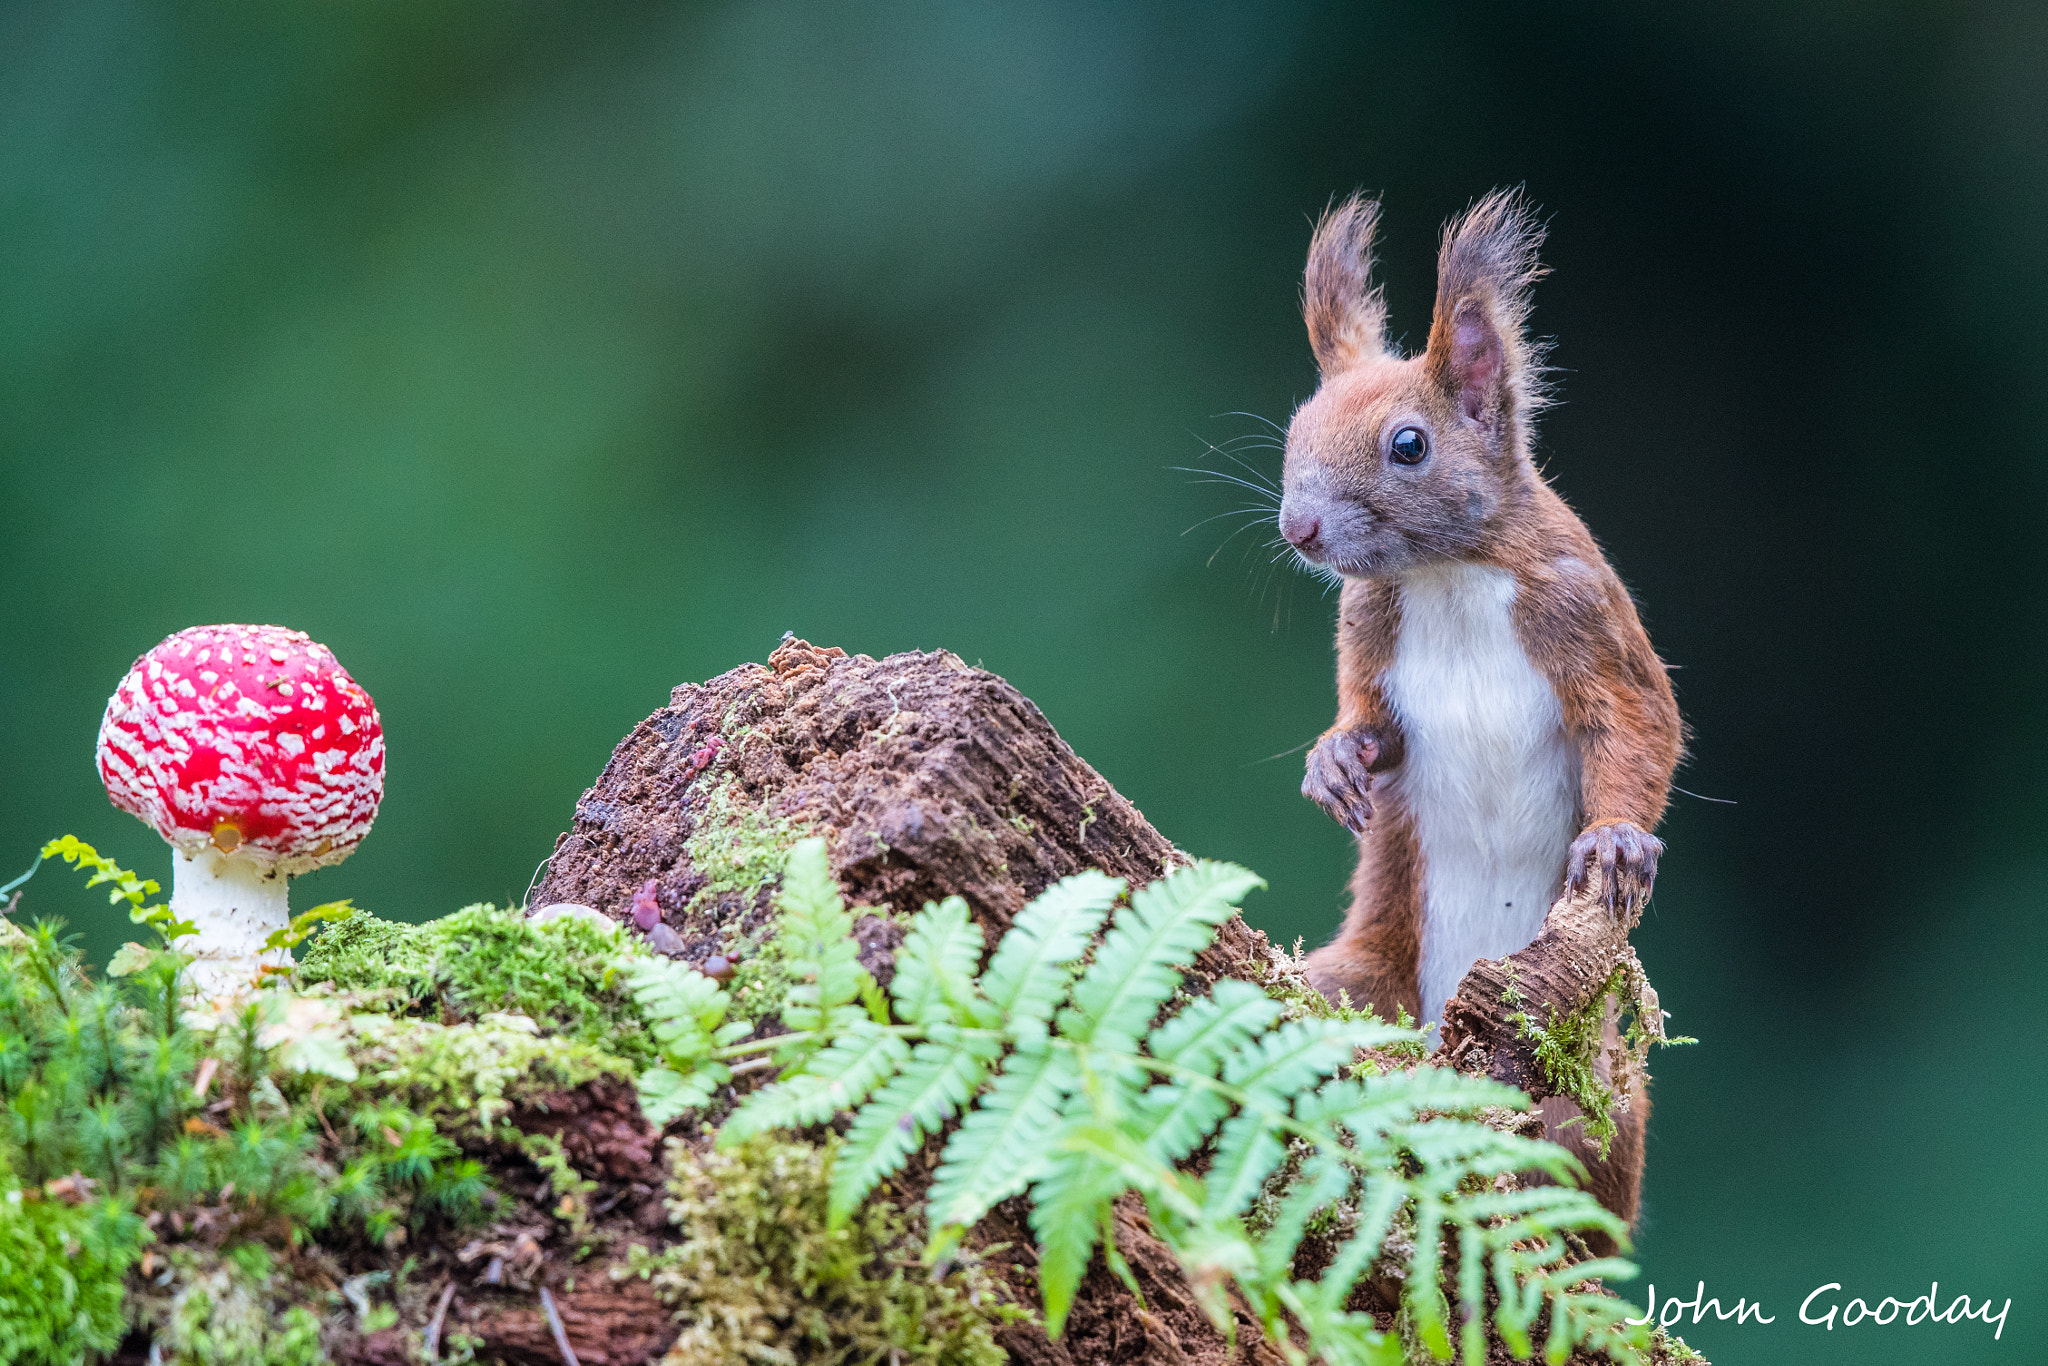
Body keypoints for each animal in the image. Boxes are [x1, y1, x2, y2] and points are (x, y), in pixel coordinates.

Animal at [1277, 187, 1679, 1220]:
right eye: (1296, 430)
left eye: (1409, 445)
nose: (1299, 526)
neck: (1448, 575)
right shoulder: (1369, 624)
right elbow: (1370, 722)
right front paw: (1333, 760)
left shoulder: (1585, 616)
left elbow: (1642, 729)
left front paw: (1616, 843)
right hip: (1370, 975)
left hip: (1599, 1097)